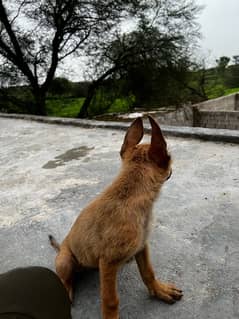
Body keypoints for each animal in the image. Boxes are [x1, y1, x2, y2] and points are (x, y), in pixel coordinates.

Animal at [49, 117, 182, 319]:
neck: (129, 195)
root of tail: (61, 247)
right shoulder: (108, 262)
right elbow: (111, 300)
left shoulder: (142, 245)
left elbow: (148, 272)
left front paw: (159, 290)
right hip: (65, 261)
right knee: (65, 279)